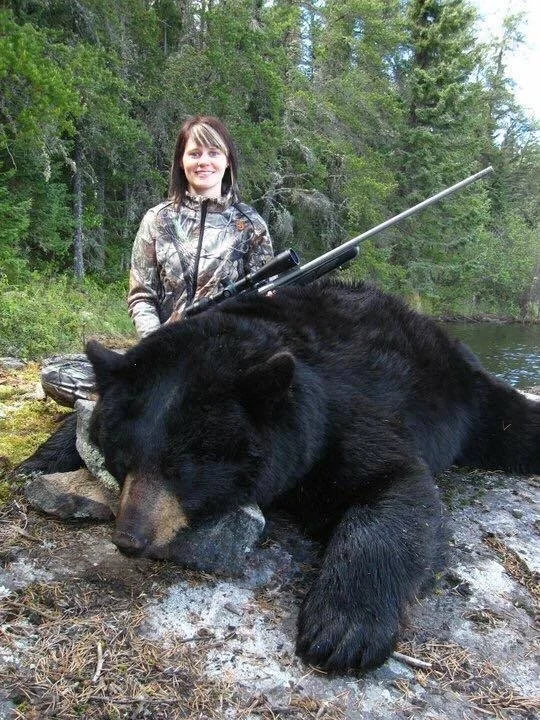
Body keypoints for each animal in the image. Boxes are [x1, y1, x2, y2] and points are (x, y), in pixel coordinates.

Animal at [19, 279, 540, 672]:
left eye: (179, 469)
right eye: (121, 459)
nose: (129, 538)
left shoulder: (340, 415)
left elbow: (395, 485)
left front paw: (341, 629)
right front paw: (41, 458)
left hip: (466, 394)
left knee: (512, 424)